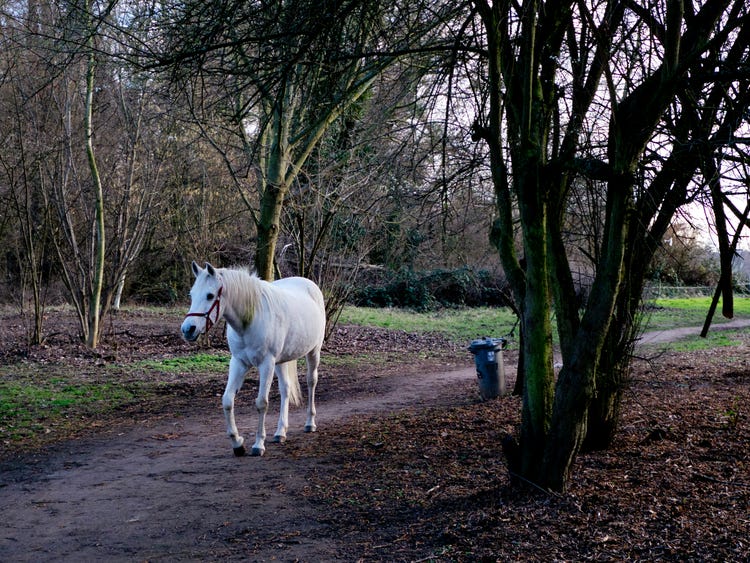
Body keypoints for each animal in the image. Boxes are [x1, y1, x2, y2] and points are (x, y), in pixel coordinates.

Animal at [181, 264, 326, 458]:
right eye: (192, 294)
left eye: (210, 295)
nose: (188, 329)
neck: (249, 320)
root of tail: (309, 285)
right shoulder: (238, 363)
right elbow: (227, 401)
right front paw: (237, 443)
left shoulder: (266, 364)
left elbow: (261, 403)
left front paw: (258, 444)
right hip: (281, 362)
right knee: (285, 389)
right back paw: (280, 432)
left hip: (313, 352)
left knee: (311, 383)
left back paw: (310, 423)